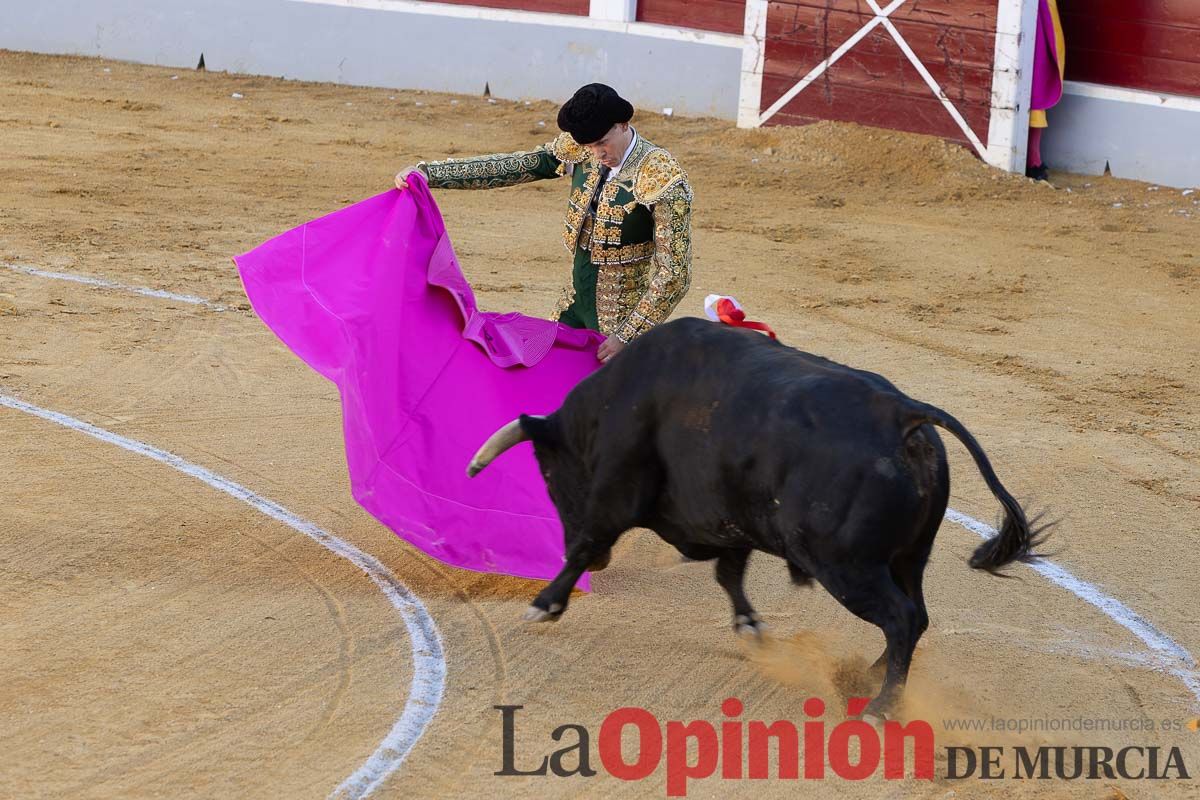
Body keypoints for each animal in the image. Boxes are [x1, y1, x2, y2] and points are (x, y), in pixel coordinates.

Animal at [463, 316, 1046, 714]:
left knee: (901, 617)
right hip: (907, 557)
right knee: (915, 615)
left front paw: (545, 605)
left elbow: (589, 541)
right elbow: (729, 573)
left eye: (549, 477)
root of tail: (903, 413)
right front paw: (750, 626)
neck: (608, 407)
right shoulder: (731, 520)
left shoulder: (615, 491)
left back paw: (880, 708)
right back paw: (869, 678)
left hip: (846, 565)